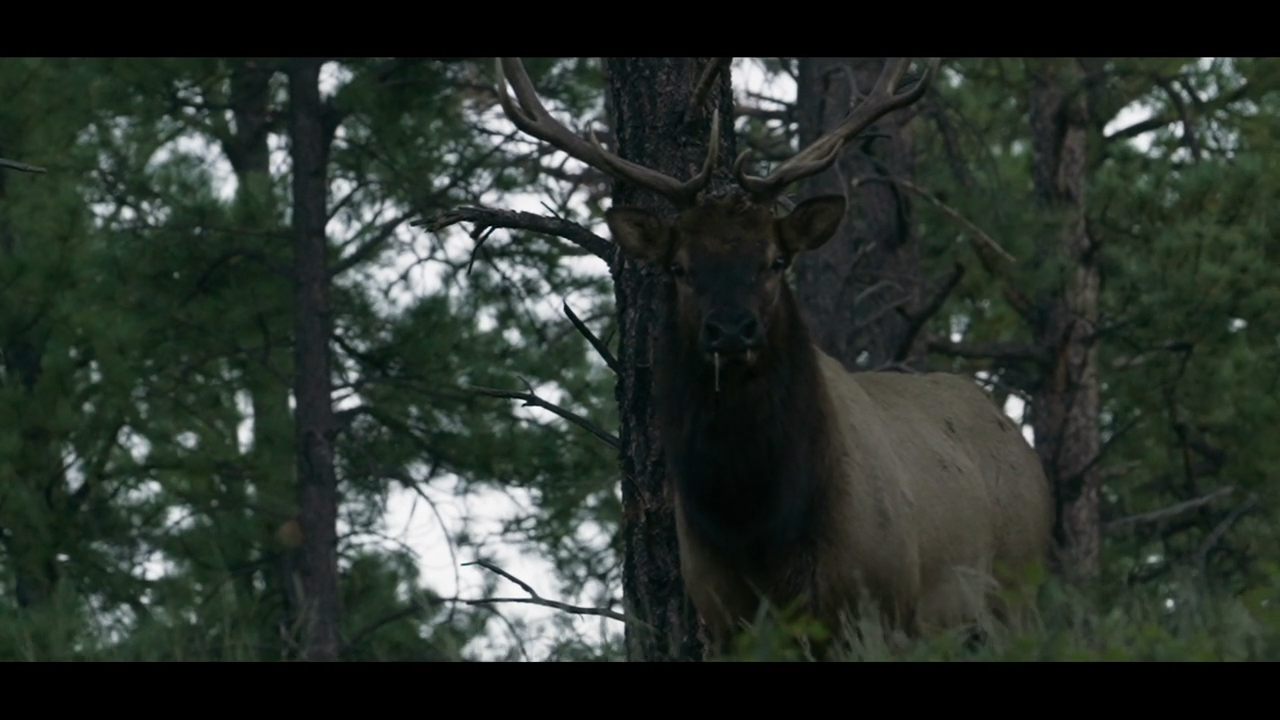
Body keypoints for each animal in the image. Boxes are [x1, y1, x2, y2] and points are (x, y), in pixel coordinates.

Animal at [493, 58, 1053, 658]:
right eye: (679, 267)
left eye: (776, 259)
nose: (732, 329)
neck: (757, 526)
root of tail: (1015, 435)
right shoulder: (724, 618)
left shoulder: (876, 604)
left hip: (1013, 593)